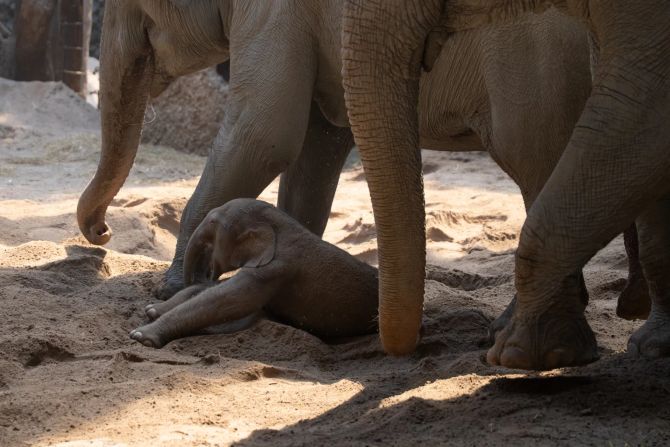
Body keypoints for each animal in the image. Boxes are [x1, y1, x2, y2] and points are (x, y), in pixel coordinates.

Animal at [129, 198, 379, 348]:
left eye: (213, 222)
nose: (208, 271)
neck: (281, 226)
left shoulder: (275, 270)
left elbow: (225, 300)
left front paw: (141, 336)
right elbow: (214, 291)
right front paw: (153, 310)